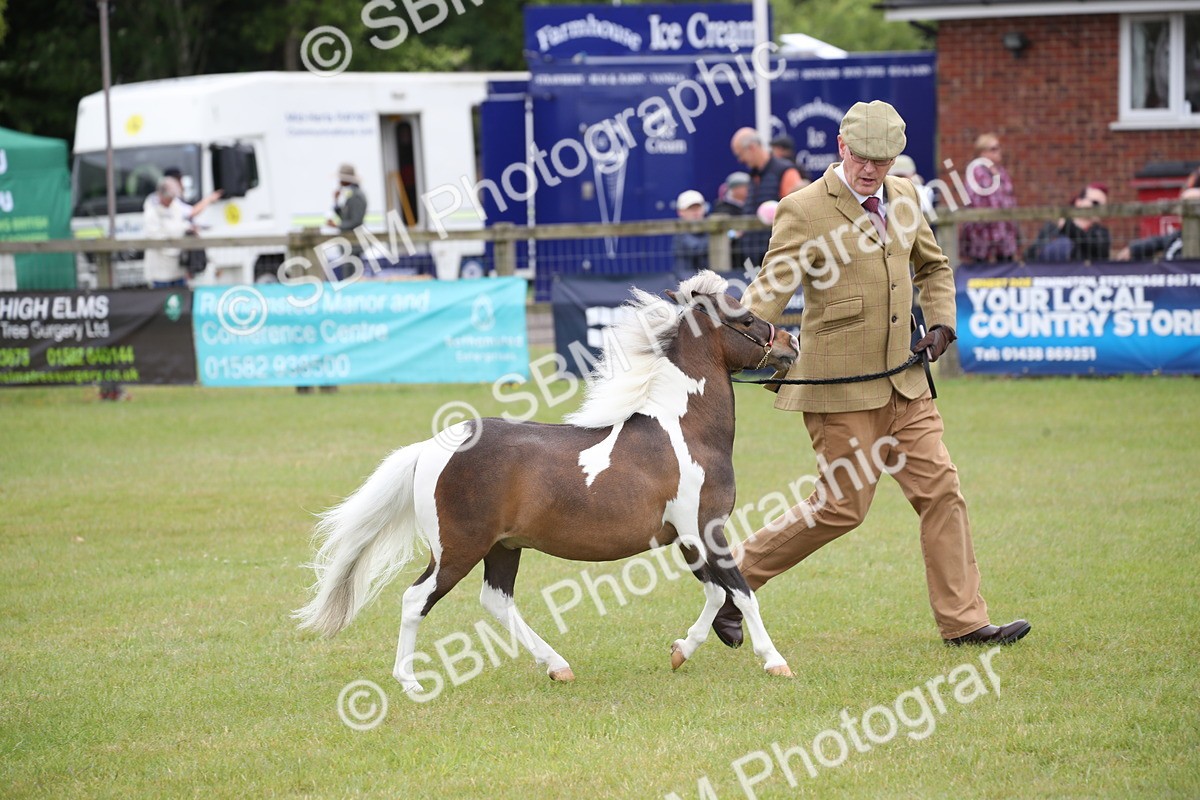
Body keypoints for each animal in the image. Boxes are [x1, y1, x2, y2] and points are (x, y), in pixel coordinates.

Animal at [294, 270, 800, 693]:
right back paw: (411, 681)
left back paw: (557, 666)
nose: (791, 343)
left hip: (503, 547)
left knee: (496, 601)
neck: (684, 430)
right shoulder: (705, 529)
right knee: (416, 599)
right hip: (458, 549)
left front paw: (680, 652)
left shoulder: (689, 537)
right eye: (747, 318)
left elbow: (716, 592)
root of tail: (431, 447)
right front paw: (775, 661)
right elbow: (742, 592)